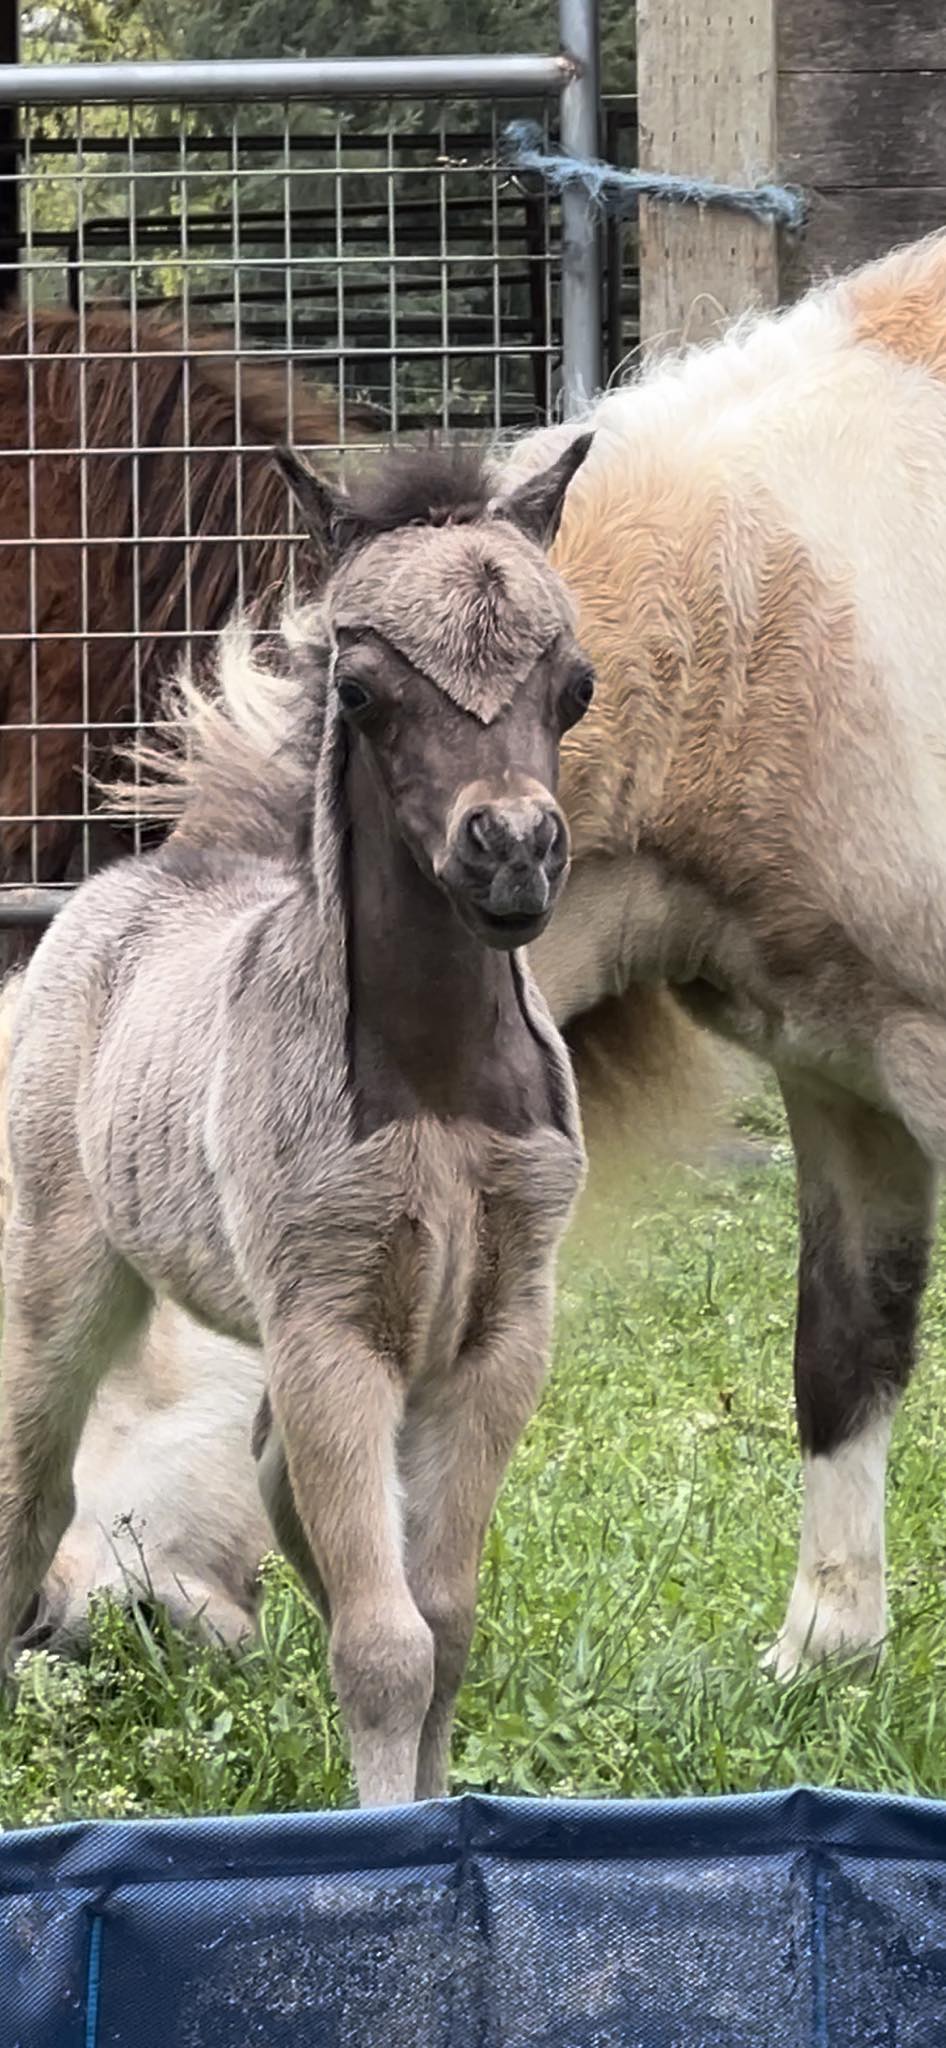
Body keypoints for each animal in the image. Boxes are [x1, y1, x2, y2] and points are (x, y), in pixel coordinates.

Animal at [0, 434, 596, 1806]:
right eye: (365, 692)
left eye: (575, 686)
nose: (512, 853)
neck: (435, 1086)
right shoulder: (332, 1325)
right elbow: (382, 1645)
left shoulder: (500, 1333)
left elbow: (441, 1621)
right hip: (64, 1287)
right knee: (30, 1507)